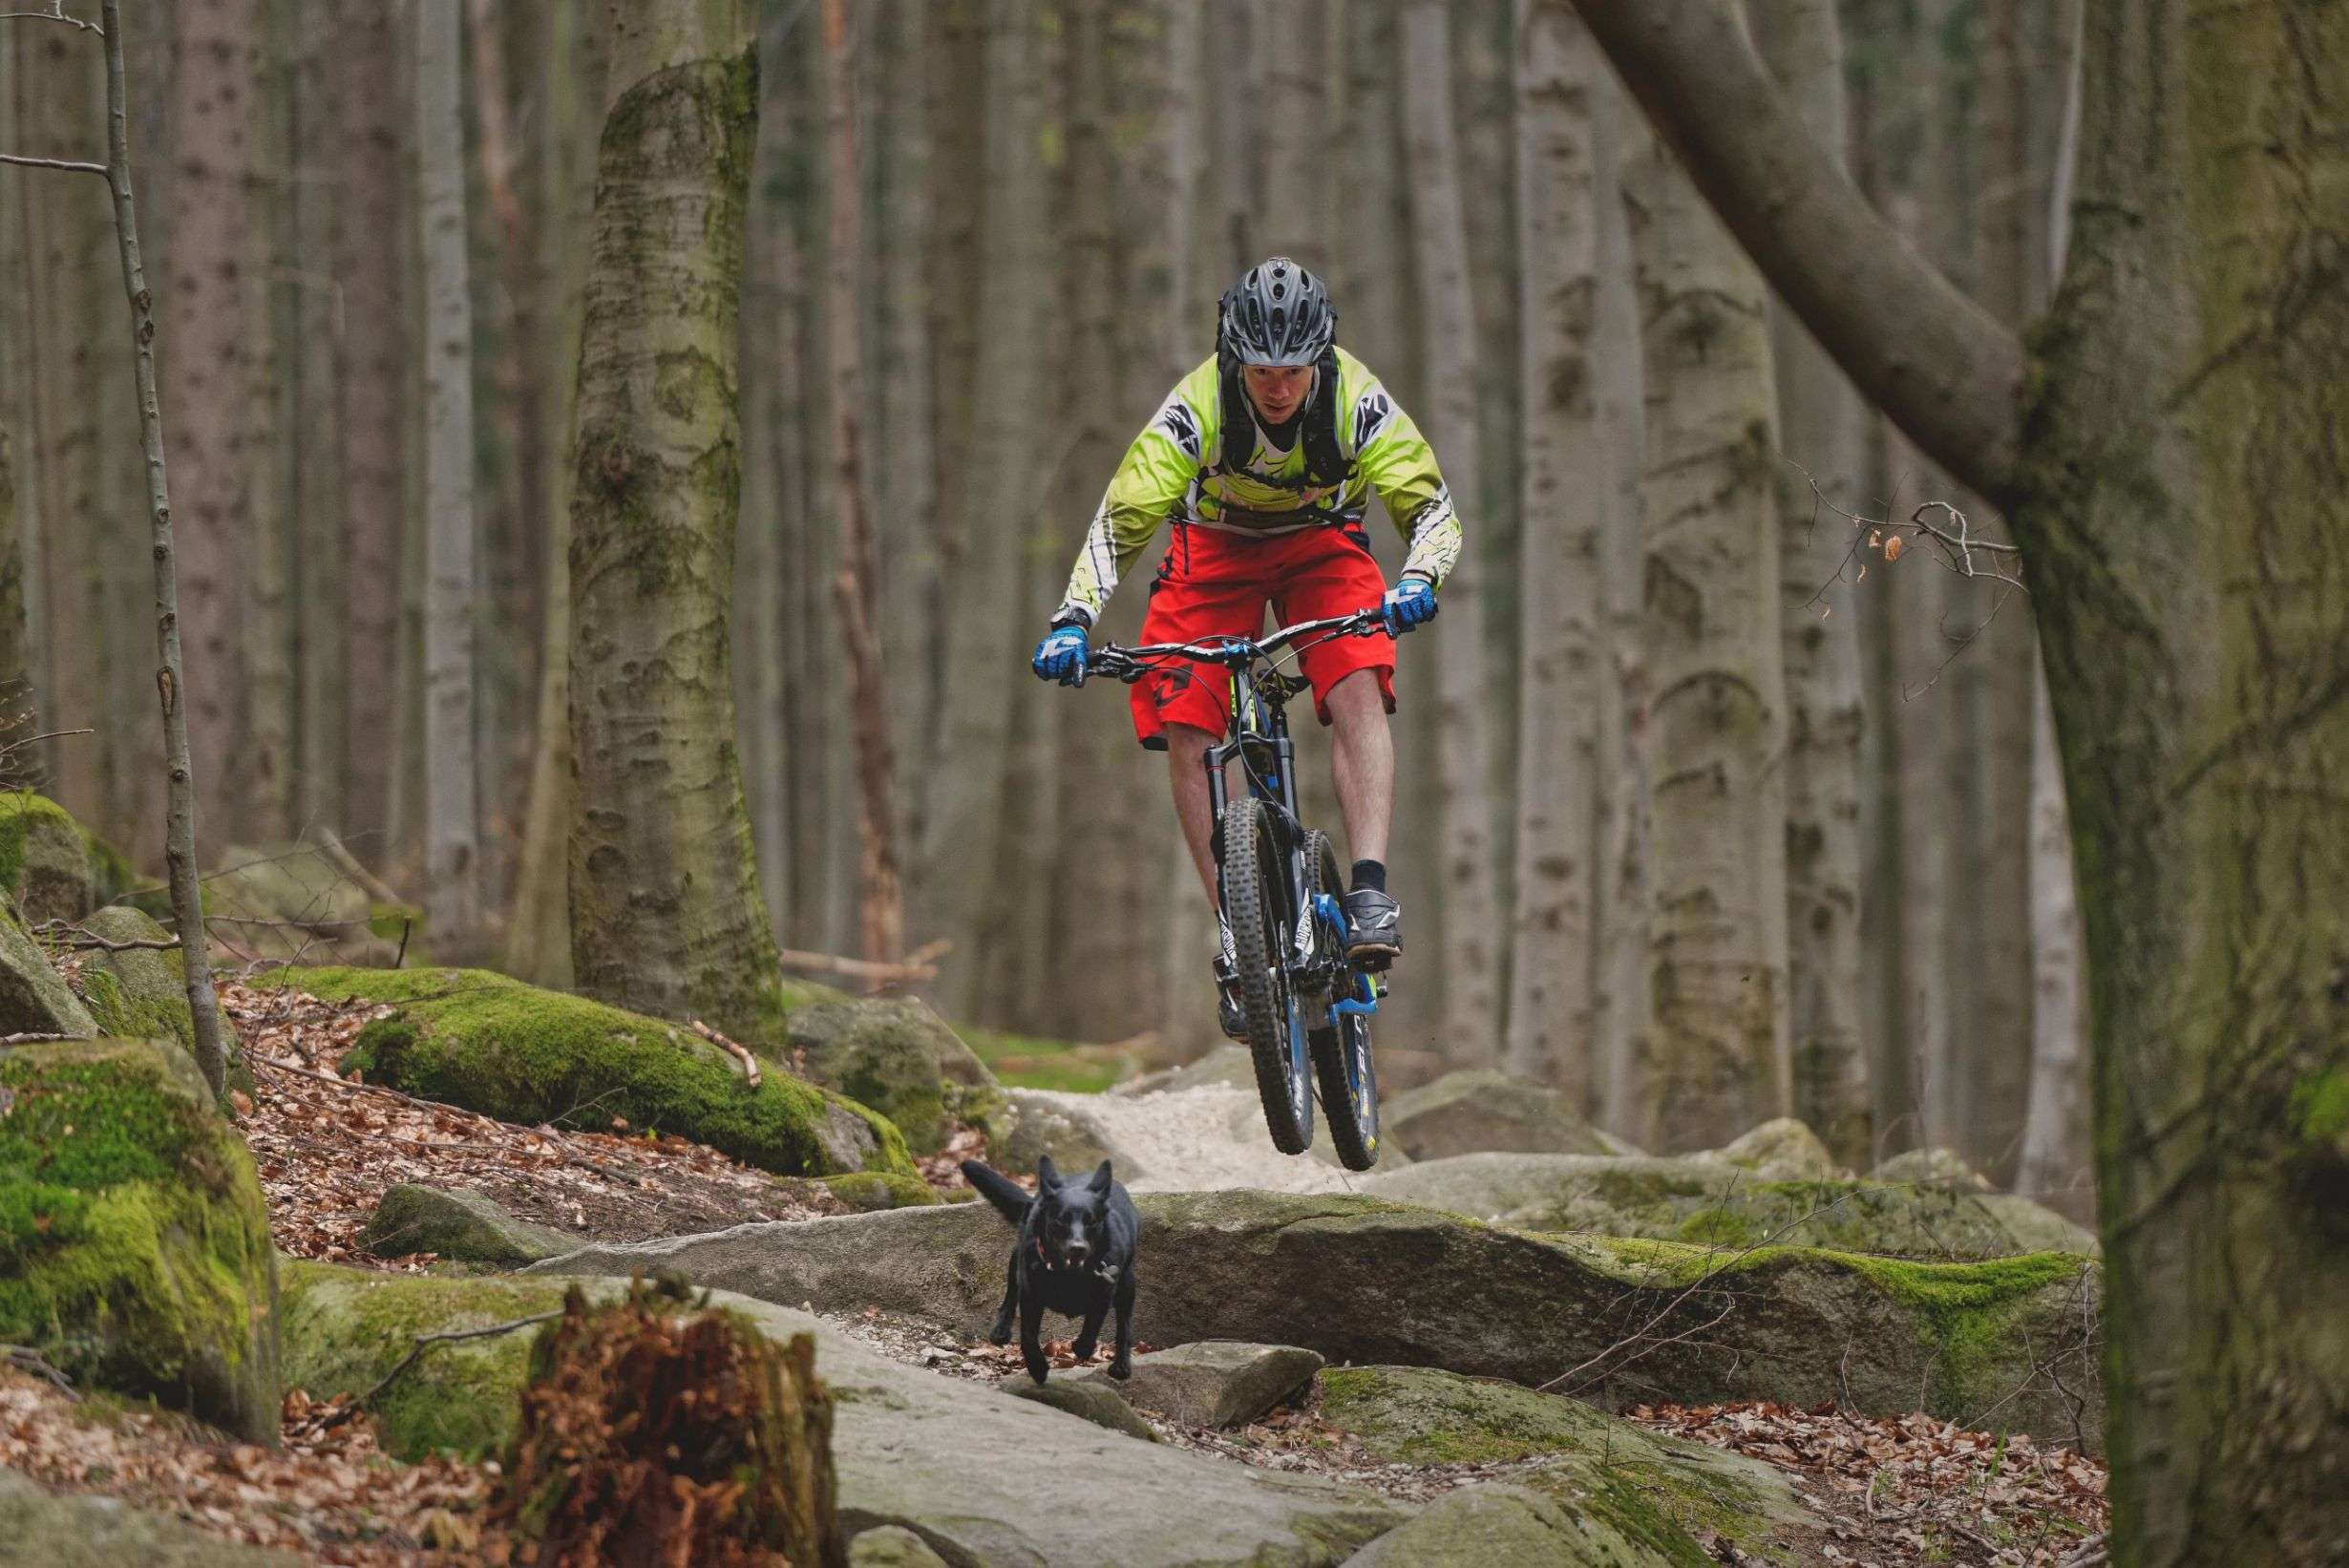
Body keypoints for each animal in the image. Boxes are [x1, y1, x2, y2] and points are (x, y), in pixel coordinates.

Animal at [953, 1152, 1136, 1382]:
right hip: (1017, 1259)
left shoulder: (1104, 1291)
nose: (1078, 1248)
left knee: (1125, 1324)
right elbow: (1028, 1336)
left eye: (1092, 1222)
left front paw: (1081, 1347)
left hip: (1127, 1285)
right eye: (1061, 1220)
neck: (1069, 1275)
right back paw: (1001, 1330)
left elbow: (1092, 1326)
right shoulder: (1031, 1295)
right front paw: (1038, 1367)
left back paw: (1121, 1365)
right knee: (1010, 1295)